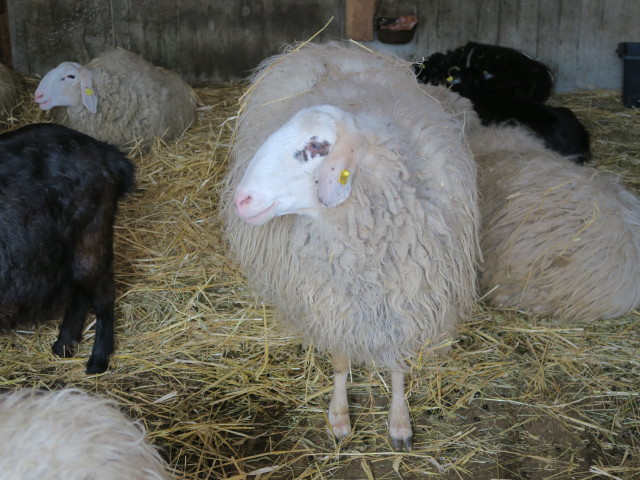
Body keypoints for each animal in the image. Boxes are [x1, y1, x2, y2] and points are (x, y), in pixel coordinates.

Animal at [0, 123, 135, 374]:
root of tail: (105, 152)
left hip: (90, 240)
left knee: (102, 294)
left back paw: (98, 359)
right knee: (78, 292)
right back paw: (65, 345)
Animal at [222, 42, 480, 450]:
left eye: (316, 146)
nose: (241, 200)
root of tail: (326, 46)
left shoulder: (406, 304)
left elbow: (397, 363)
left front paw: (399, 421)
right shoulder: (333, 305)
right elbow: (342, 362)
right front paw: (339, 416)